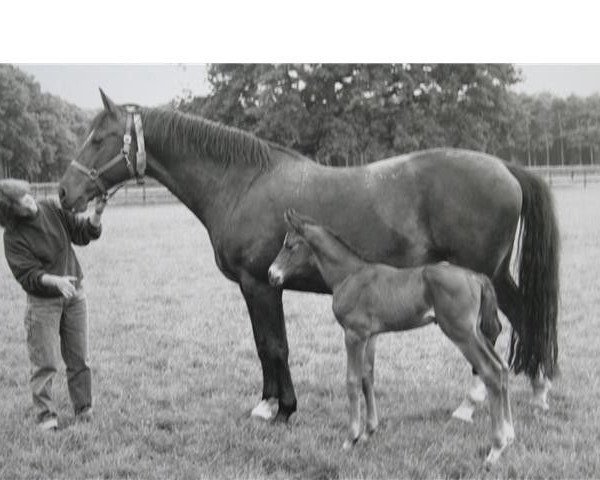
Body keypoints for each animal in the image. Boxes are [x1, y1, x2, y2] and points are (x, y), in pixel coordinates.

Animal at [268, 210, 516, 464]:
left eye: (289, 246)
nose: (271, 274)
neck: (349, 276)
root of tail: (476, 277)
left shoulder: (353, 334)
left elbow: (352, 380)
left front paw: (351, 438)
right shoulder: (371, 336)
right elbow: (367, 377)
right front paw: (368, 432)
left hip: (461, 333)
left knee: (490, 371)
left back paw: (496, 447)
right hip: (475, 331)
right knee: (502, 367)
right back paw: (508, 436)